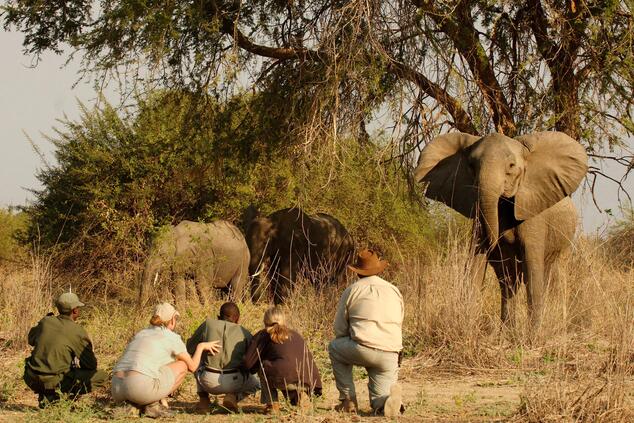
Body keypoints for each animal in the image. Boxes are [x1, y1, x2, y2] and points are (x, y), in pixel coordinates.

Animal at [414, 131, 588, 330]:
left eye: (511, 166)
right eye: (471, 166)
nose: (496, 242)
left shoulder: (532, 214)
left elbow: (533, 269)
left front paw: (534, 335)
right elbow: (475, 263)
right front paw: (465, 327)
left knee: (548, 276)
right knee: (508, 281)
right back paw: (508, 331)